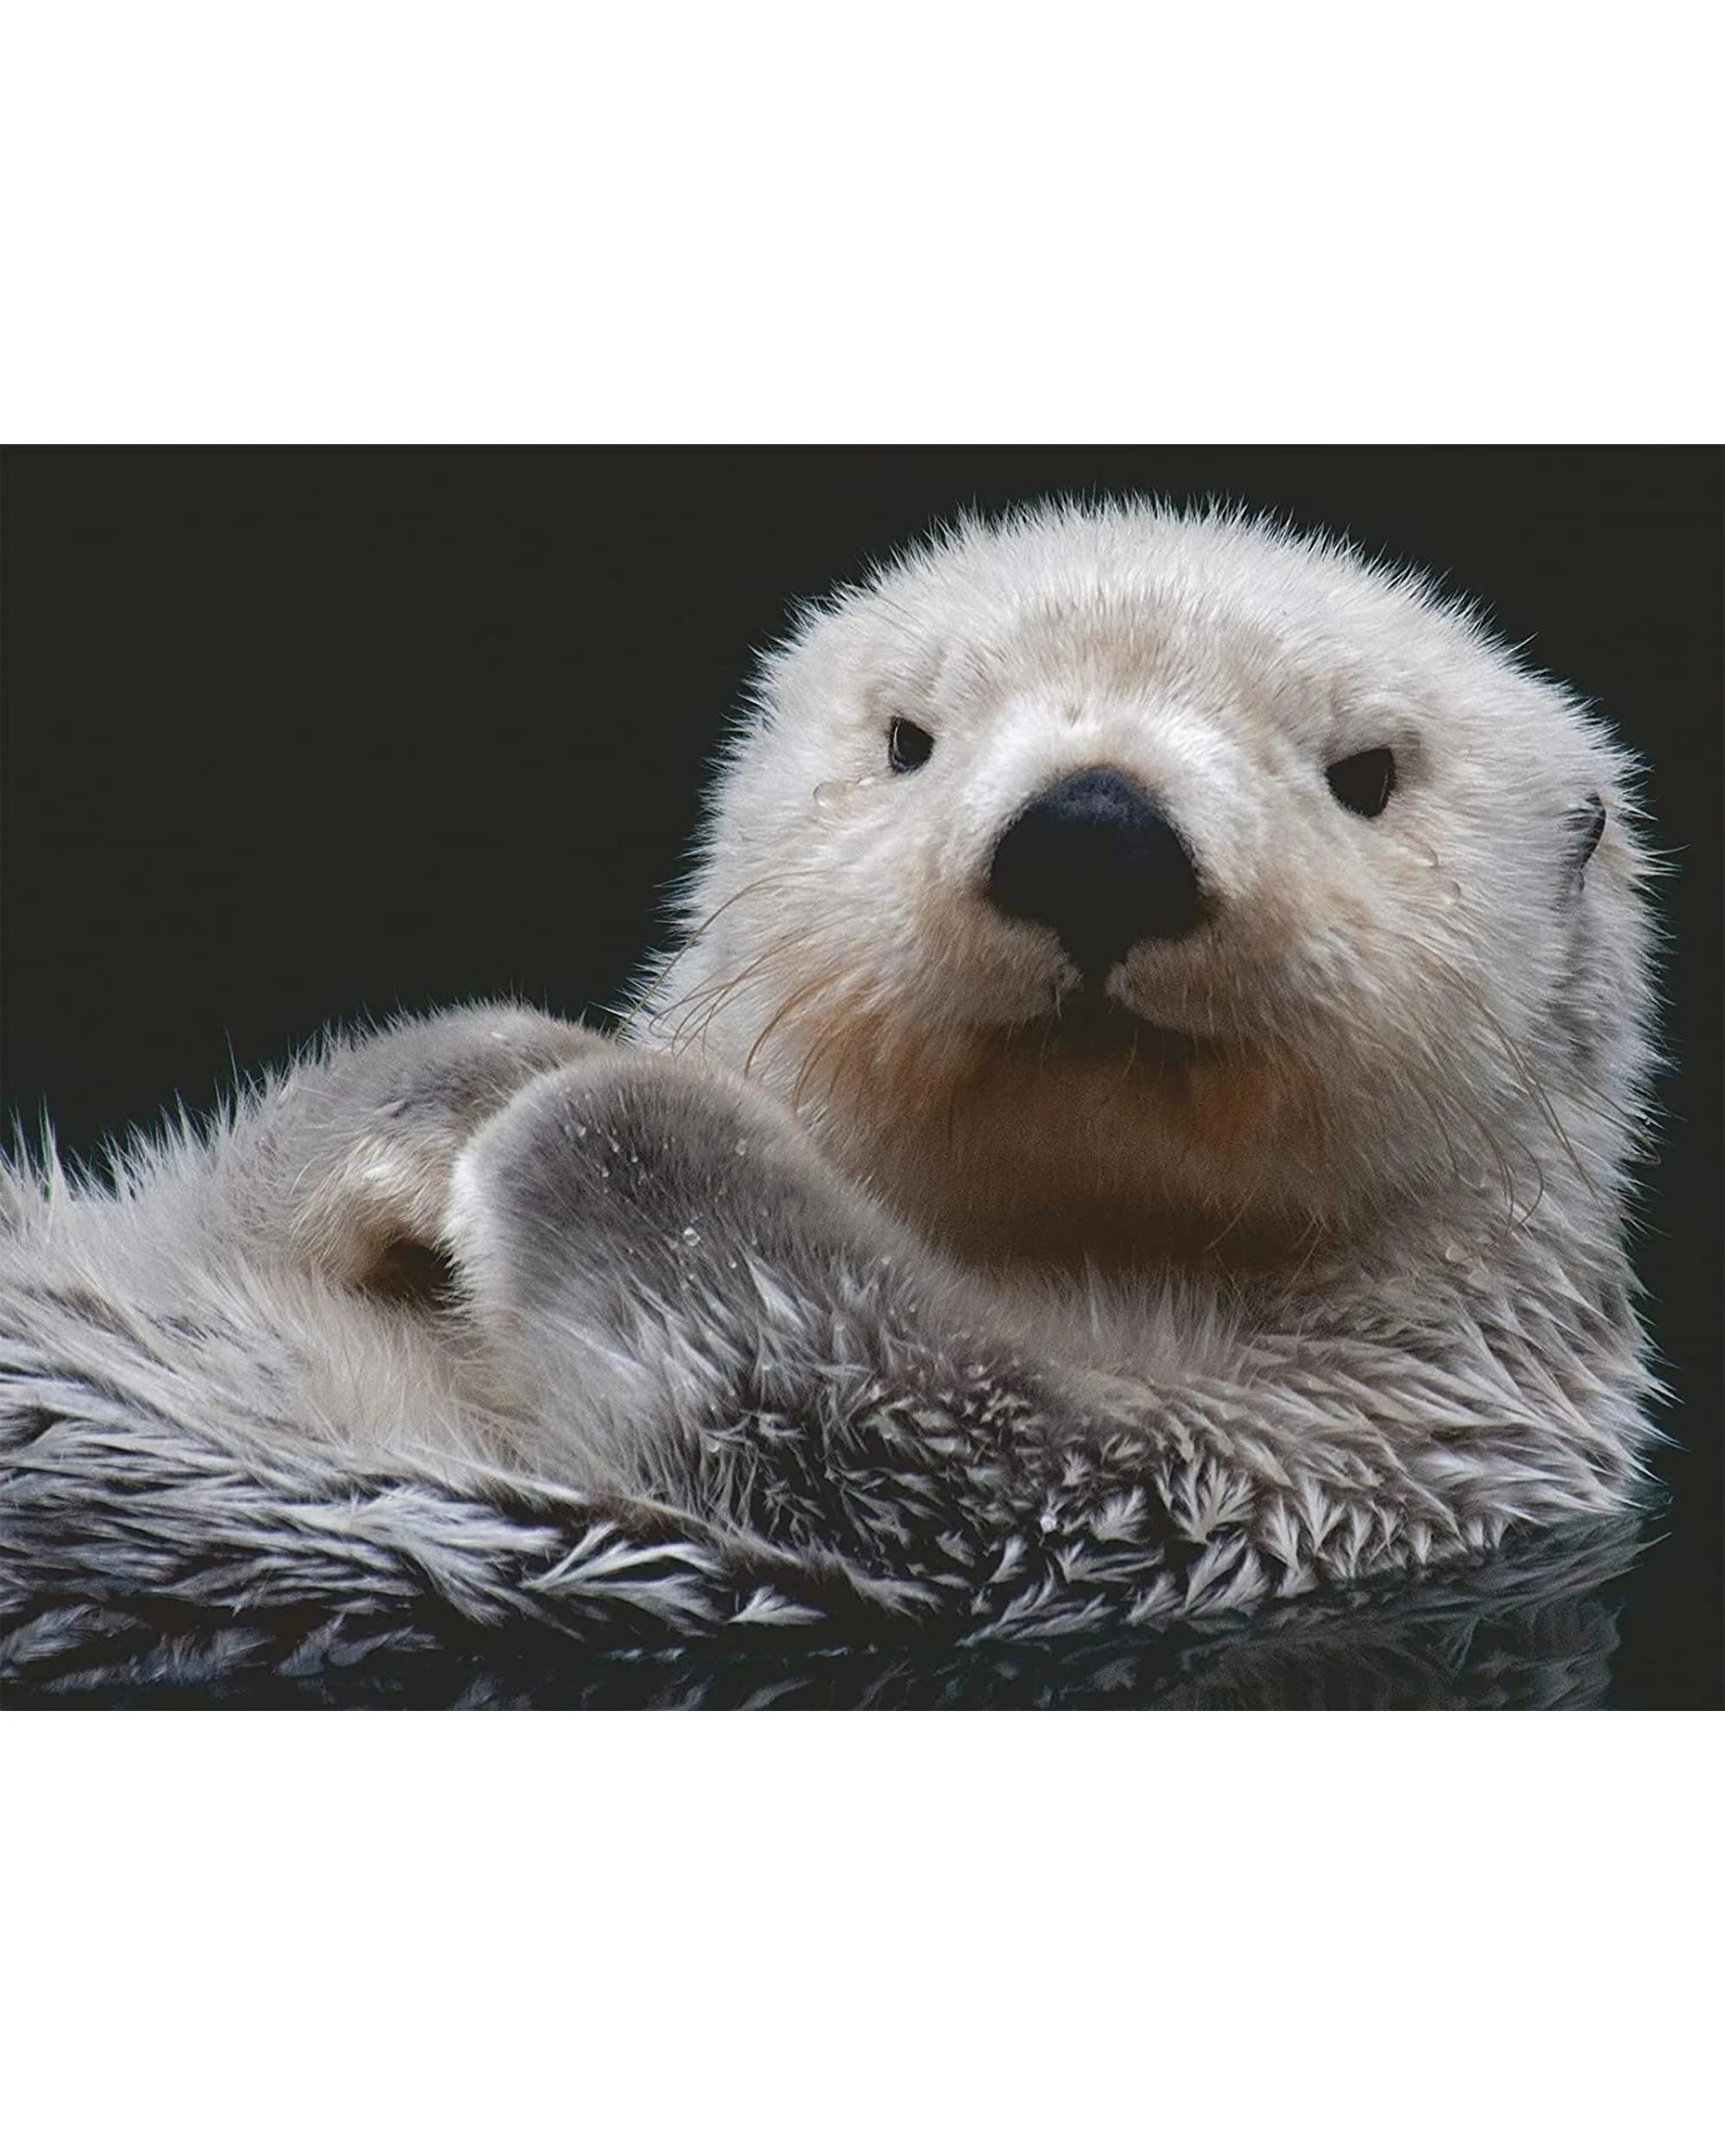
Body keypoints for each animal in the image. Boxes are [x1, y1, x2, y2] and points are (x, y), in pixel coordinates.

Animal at [0, 503, 1662, 1652]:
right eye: (911, 739)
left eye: (1367, 774)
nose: (1097, 833)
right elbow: (225, 1197)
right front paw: (474, 1079)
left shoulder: (1293, 1474)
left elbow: (880, 1404)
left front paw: (591, 1109)